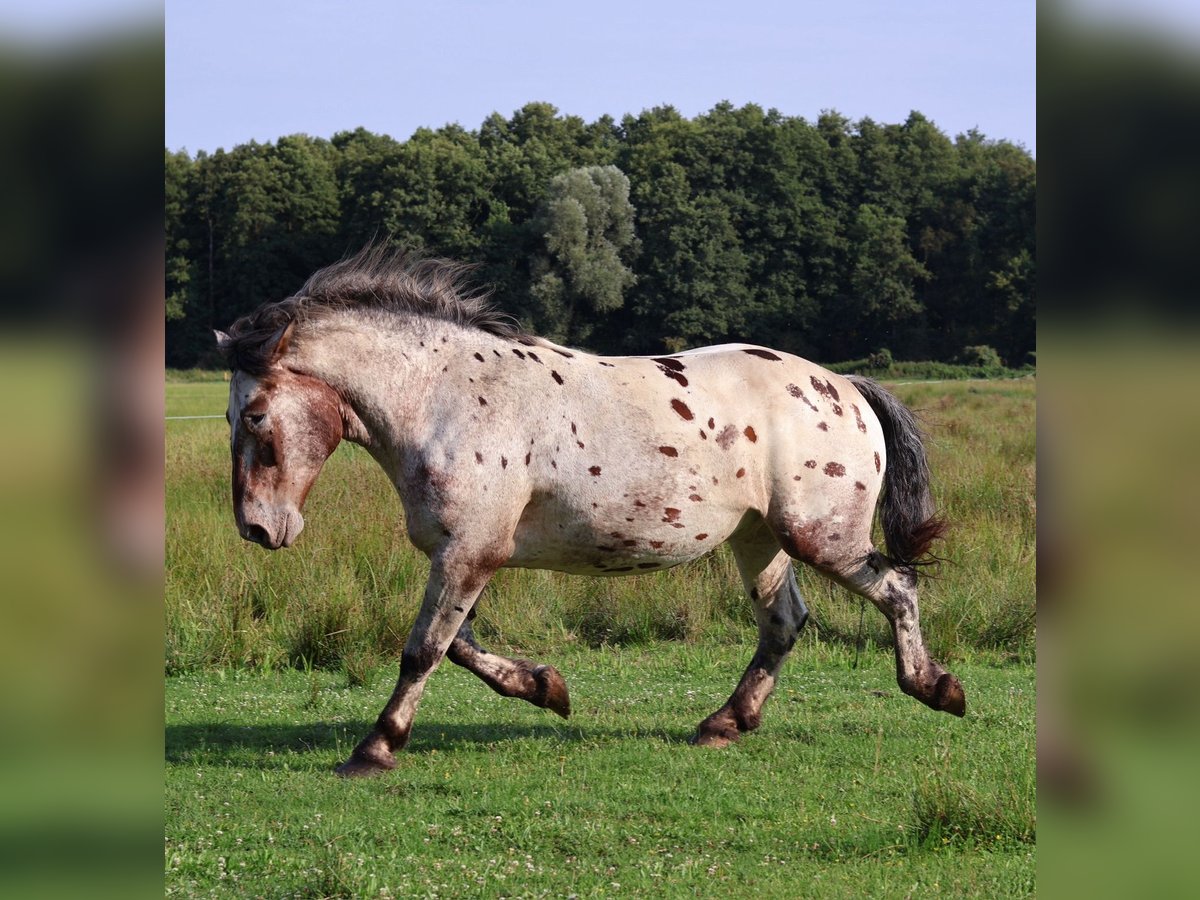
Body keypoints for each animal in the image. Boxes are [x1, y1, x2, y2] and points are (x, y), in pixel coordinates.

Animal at [218, 248, 964, 782]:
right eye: (230, 417)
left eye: (254, 417)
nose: (258, 528)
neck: (445, 398)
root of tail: (845, 386)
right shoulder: (465, 552)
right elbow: (457, 645)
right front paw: (546, 687)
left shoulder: (469, 551)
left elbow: (423, 648)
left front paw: (374, 748)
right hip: (762, 539)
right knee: (784, 623)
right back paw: (724, 723)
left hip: (821, 537)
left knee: (897, 586)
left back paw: (936, 688)